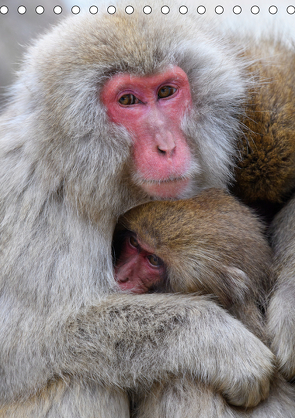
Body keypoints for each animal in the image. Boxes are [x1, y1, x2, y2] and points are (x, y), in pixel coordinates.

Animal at [0, 3, 295, 418]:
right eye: (128, 101)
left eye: (166, 92)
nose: (166, 147)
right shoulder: (29, 195)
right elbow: (19, 346)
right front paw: (216, 342)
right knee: (80, 378)